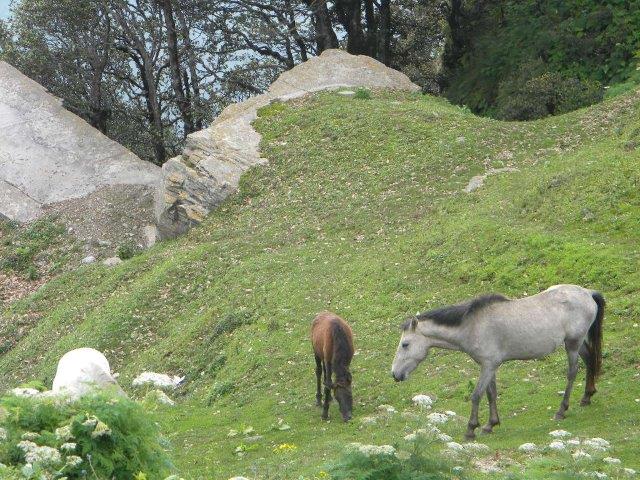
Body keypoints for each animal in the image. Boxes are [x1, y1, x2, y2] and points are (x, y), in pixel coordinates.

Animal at [390, 284, 604, 438]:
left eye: (405, 344)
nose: (395, 374)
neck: (472, 325)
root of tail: (587, 293)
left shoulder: (488, 366)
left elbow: (476, 395)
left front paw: (471, 429)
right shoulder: (490, 366)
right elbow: (491, 394)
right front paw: (490, 424)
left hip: (572, 344)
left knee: (572, 372)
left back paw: (562, 410)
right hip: (578, 343)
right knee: (589, 360)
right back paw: (587, 396)